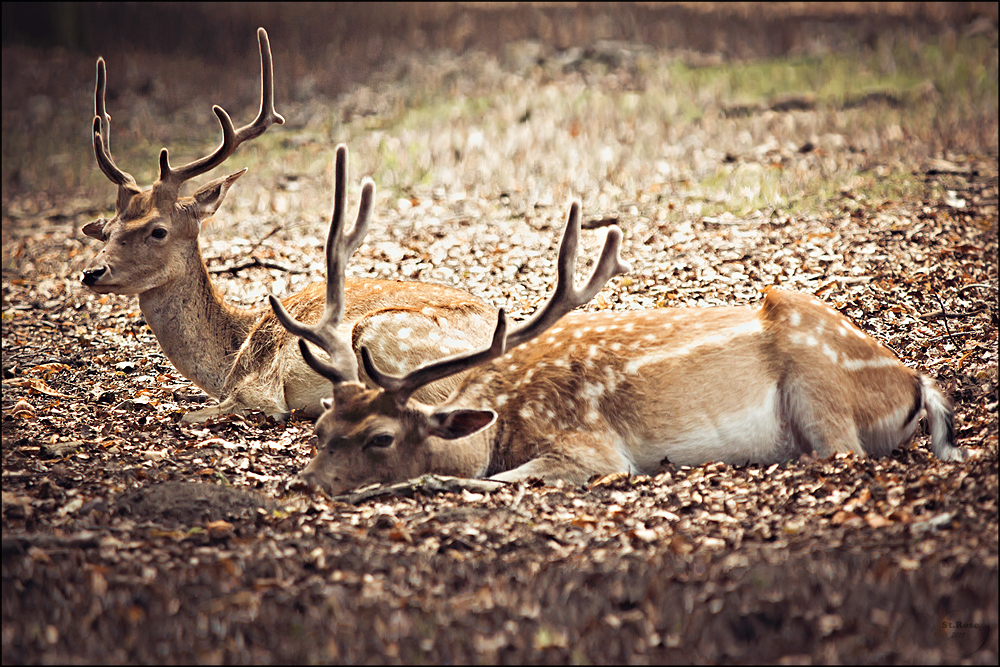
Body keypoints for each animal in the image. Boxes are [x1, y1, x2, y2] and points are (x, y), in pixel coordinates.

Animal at [79, 30, 496, 422]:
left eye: (158, 230)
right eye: (107, 230)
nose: (92, 272)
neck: (231, 356)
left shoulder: (259, 390)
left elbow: (192, 414)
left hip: (382, 336)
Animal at [274, 200, 968, 496]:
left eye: (381, 438)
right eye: (320, 430)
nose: (306, 484)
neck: (501, 424)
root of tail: (916, 383)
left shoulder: (594, 450)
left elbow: (480, 481)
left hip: (821, 386)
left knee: (844, 453)